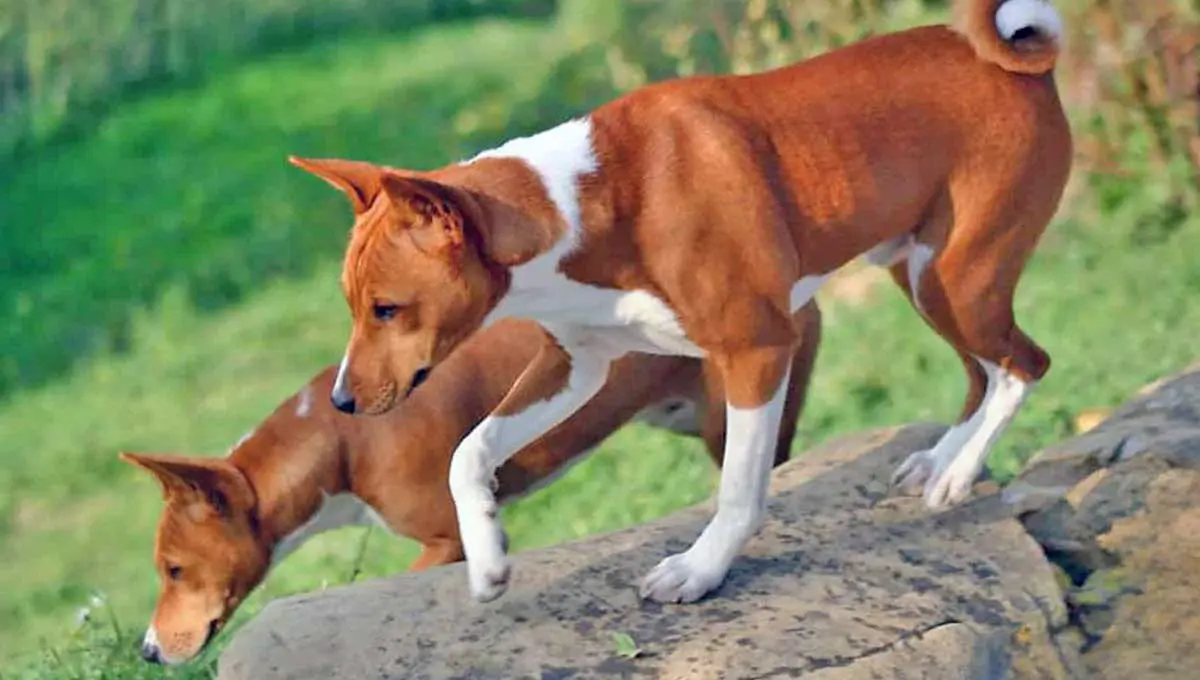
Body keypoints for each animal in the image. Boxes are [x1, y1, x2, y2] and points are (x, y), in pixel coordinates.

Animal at [292, 0, 1080, 606]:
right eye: (354, 306)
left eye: (386, 309)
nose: (340, 402)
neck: (588, 204)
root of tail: (1018, 65)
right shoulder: (575, 364)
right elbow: (469, 451)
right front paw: (488, 559)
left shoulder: (757, 349)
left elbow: (738, 488)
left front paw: (700, 570)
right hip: (919, 272)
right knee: (985, 371)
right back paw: (946, 460)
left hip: (957, 278)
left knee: (1026, 366)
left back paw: (958, 471)